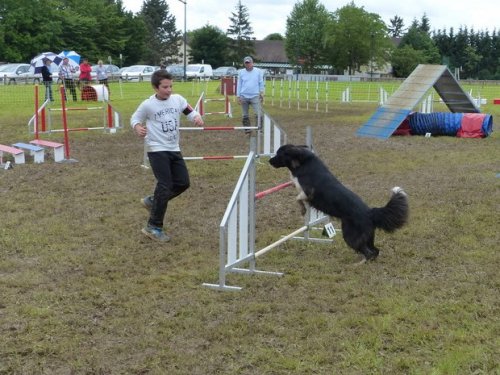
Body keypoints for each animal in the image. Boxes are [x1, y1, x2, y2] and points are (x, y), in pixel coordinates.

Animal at [268, 145, 408, 262]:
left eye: (279, 154)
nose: (269, 161)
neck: (304, 162)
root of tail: (369, 212)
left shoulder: (309, 192)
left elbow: (297, 198)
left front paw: (302, 210)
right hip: (368, 237)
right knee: (375, 251)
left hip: (350, 235)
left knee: (369, 253)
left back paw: (358, 264)